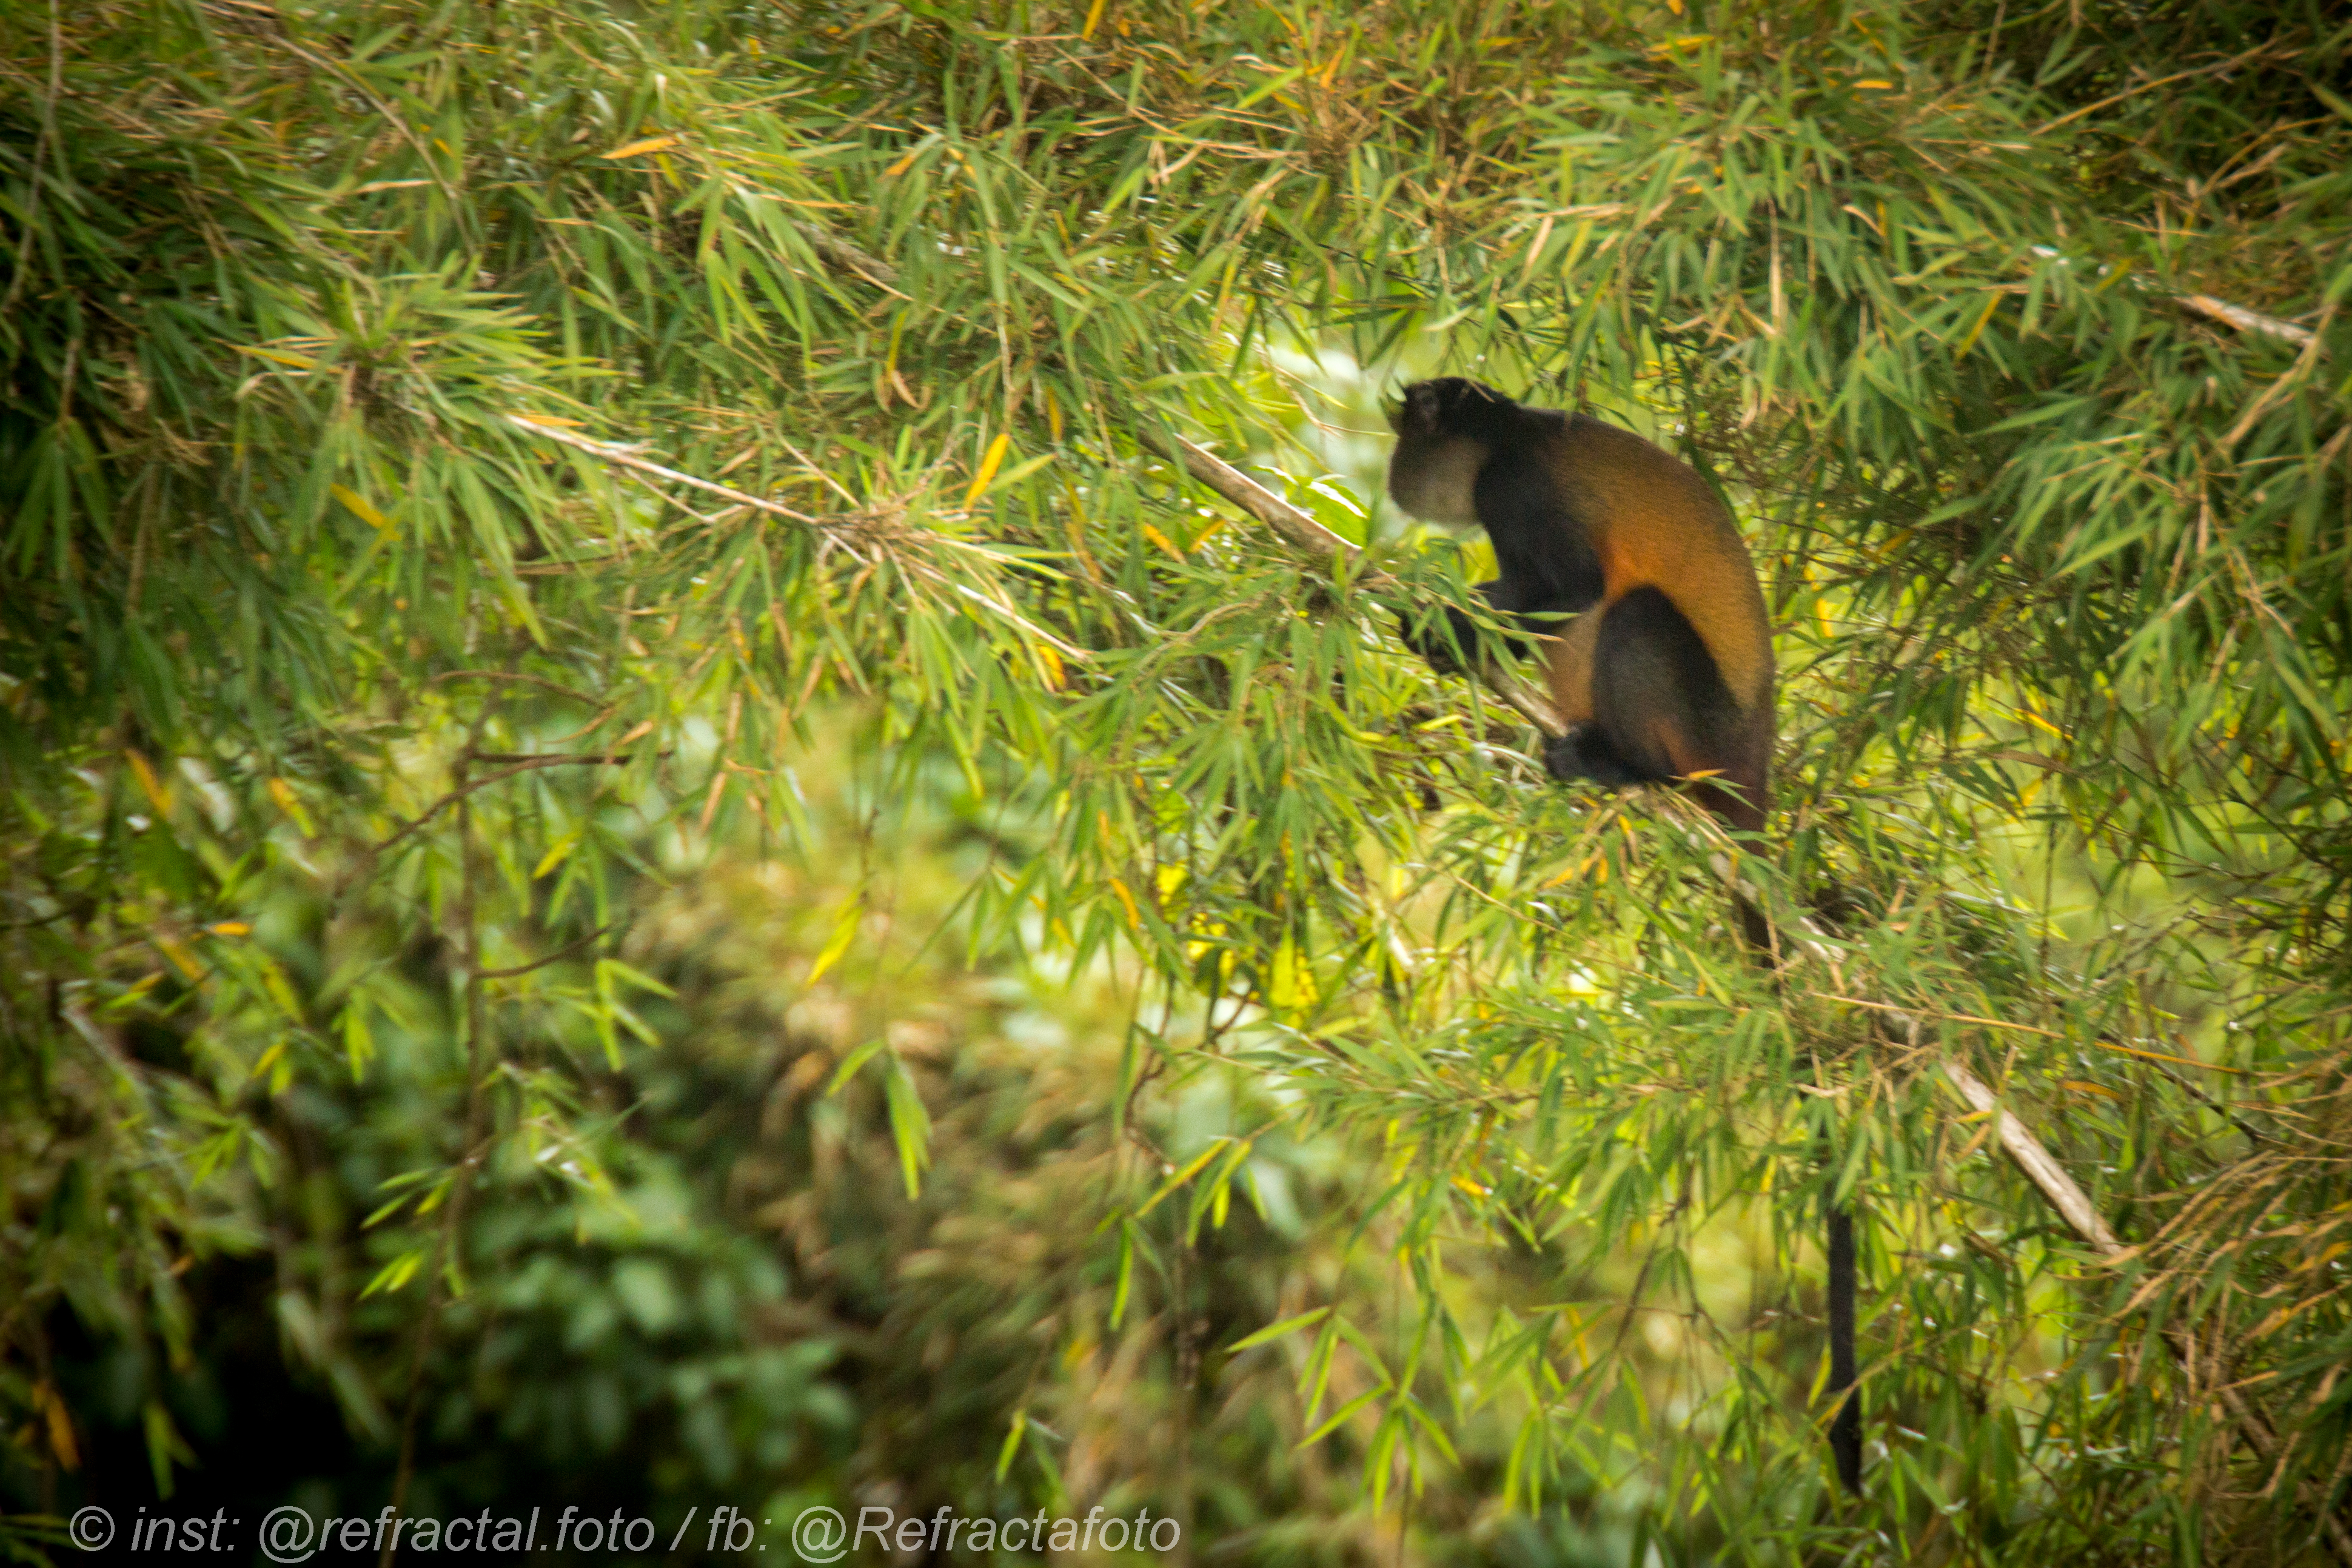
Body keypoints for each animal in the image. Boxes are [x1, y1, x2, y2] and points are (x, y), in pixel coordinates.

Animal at [1385, 377, 1862, 1496]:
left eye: (1402, 437)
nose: (1385, 476)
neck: (1507, 429)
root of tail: (1754, 778)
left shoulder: (1519, 488)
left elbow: (1568, 590)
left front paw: (1429, 620)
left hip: (1699, 727)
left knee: (1632, 617)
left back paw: (1627, 770)